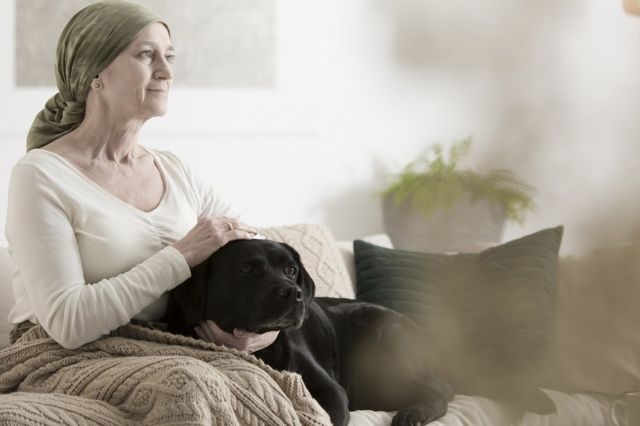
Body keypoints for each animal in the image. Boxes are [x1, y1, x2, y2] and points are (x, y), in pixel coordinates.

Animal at [166, 240, 456, 426]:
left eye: (291, 270)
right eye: (247, 269)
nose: (293, 292)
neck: (265, 349)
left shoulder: (331, 390)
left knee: (439, 393)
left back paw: (413, 415)